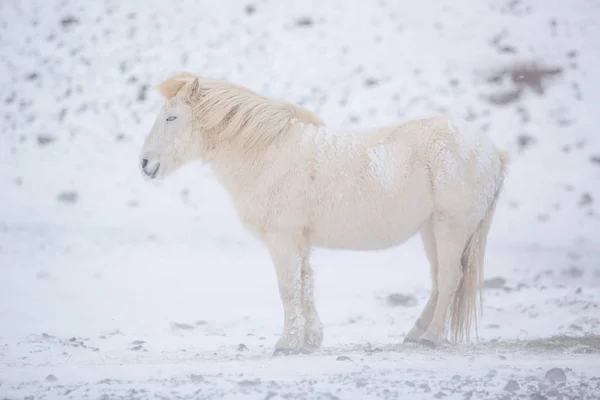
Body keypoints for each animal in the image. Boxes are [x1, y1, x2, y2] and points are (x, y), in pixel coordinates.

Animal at [139, 71, 506, 354]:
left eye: (171, 117)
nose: (144, 164)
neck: (268, 153)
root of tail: (493, 150)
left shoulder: (283, 240)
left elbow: (289, 288)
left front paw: (286, 344)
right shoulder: (300, 242)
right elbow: (305, 285)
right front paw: (310, 340)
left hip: (451, 226)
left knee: (450, 278)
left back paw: (430, 338)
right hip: (431, 229)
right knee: (438, 279)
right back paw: (415, 334)